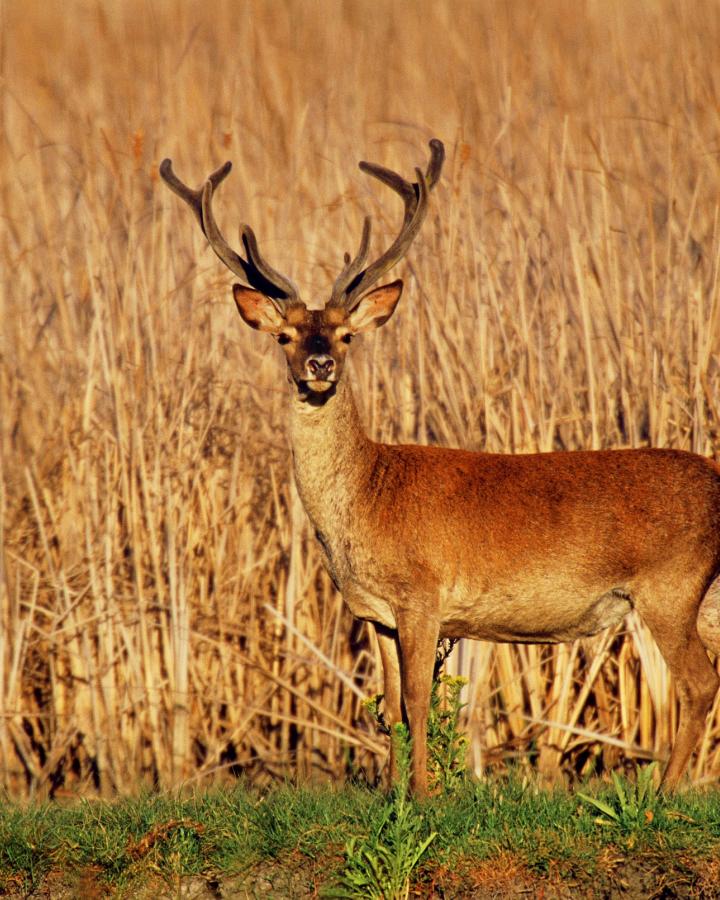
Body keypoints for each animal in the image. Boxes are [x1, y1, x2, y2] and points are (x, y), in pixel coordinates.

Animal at [160, 139, 720, 796]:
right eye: (286, 336)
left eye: (347, 335)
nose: (320, 365)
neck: (367, 495)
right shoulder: (375, 612)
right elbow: (389, 704)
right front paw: (391, 791)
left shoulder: (423, 595)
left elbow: (419, 699)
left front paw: (425, 795)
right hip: (703, 595)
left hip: (670, 586)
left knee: (698, 683)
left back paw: (663, 793)